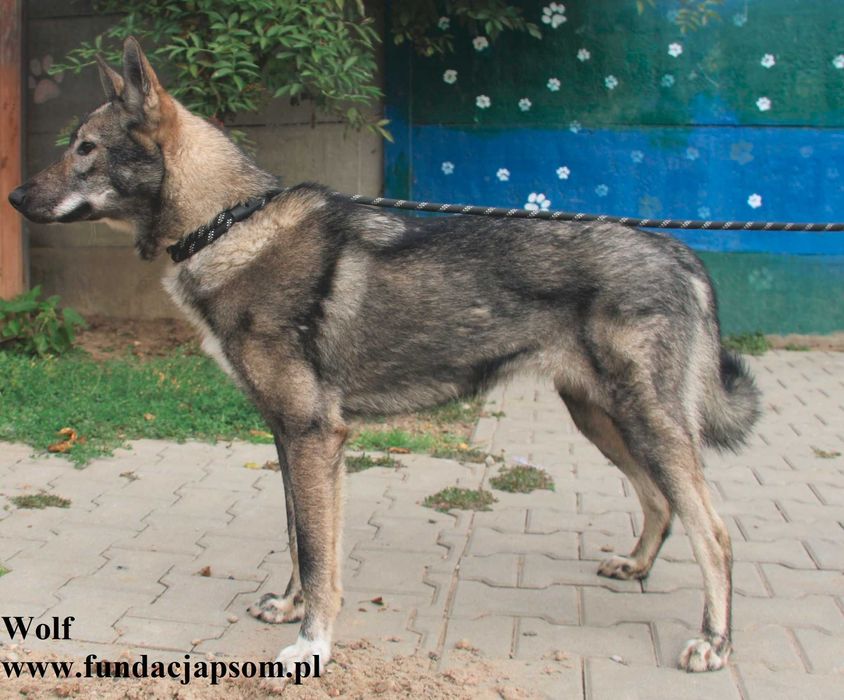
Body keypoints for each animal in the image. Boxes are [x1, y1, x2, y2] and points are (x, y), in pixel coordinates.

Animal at [9, 38, 760, 674]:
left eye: (85, 148)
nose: (14, 195)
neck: (227, 226)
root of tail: (680, 252)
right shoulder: (288, 438)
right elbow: (300, 540)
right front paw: (289, 608)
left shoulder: (313, 435)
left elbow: (319, 556)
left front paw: (311, 644)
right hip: (601, 420)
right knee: (660, 504)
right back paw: (636, 568)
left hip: (646, 425)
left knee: (715, 533)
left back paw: (714, 643)